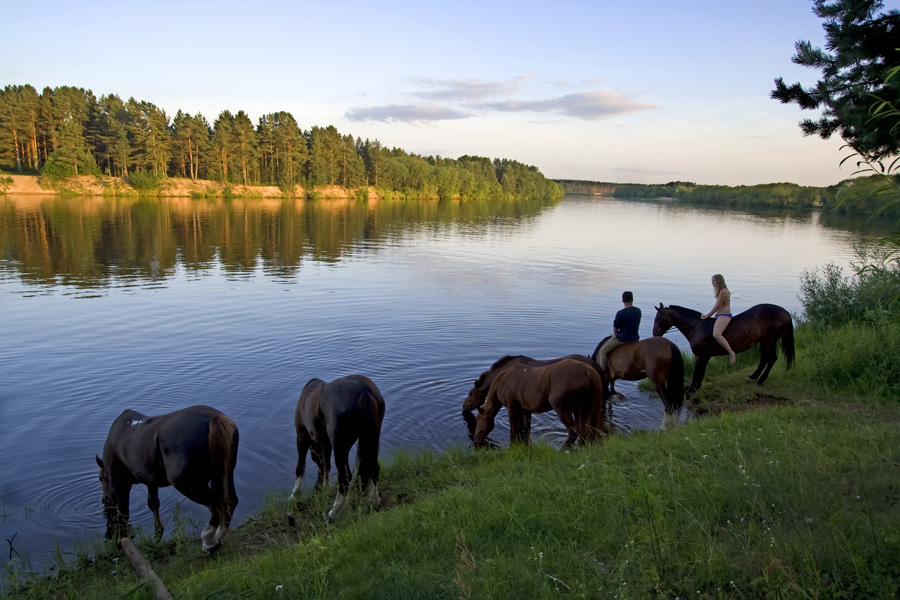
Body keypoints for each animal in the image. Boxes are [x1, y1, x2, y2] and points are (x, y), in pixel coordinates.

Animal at [96, 404, 239, 552]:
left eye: (101, 478)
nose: (104, 500)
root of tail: (215, 418)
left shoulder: (119, 482)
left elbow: (123, 513)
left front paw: (121, 540)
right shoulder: (150, 480)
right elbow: (153, 503)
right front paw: (158, 528)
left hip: (187, 484)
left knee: (215, 505)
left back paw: (208, 541)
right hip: (225, 472)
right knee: (230, 501)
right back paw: (219, 536)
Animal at [290, 376, 384, 520]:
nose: (319, 476)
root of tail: (362, 391)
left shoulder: (301, 437)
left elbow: (300, 467)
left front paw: (295, 495)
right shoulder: (326, 444)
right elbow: (326, 465)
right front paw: (325, 486)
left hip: (340, 447)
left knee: (345, 478)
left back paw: (333, 513)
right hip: (372, 439)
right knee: (374, 467)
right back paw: (374, 500)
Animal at [472, 356, 604, 450]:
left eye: (478, 419)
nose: (476, 438)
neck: (503, 381)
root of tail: (587, 370)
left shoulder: (512, 410)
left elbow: (513, 432)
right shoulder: (524, 411)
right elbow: (524, 432)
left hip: (562, 410)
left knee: (573, 431)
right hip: (581, 409)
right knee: (584, 431)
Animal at [652, 300, 796, 394]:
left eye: (658, 319)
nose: (654, 335)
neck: (697, 327)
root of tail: (786, 313)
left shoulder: (703, 356)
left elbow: (698, 372)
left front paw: (693, 390)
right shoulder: (700, 356)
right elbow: (698, 372)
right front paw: (694, 388)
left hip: (769, 341)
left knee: (771, 359)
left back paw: (760, 380)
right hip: (764, 342)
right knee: (764, 359)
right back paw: (752, 376)